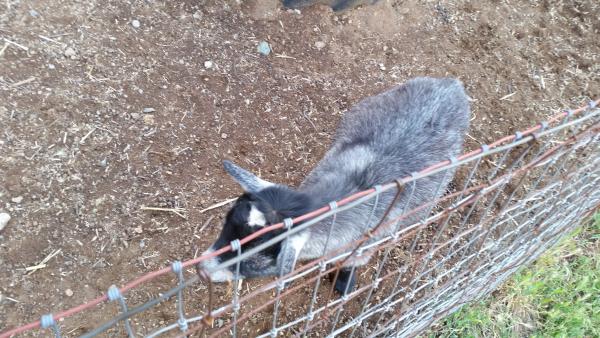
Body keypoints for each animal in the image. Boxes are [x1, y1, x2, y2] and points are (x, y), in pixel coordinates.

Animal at [204, 76, 472, 294]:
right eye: (225, 226)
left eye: (253, 261)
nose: (204, 270)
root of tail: (452, 85)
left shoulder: (365, 246)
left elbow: (349, 264)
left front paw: (344, 283)